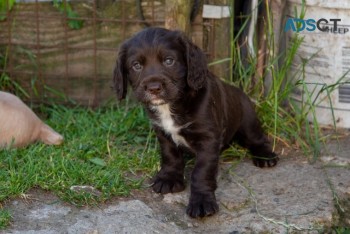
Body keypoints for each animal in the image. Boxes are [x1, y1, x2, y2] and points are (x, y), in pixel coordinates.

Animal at [113, 27, 278, 218]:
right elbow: (170, 156)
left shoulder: (208, 139)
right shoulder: (163, 133)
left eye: (169, 61)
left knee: (257, 138)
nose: (154, 88)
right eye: (136, 65)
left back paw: (265, 156)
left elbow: (201, 171)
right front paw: (169, 178)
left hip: (247, 120)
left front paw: (202, 202)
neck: (172, 105)